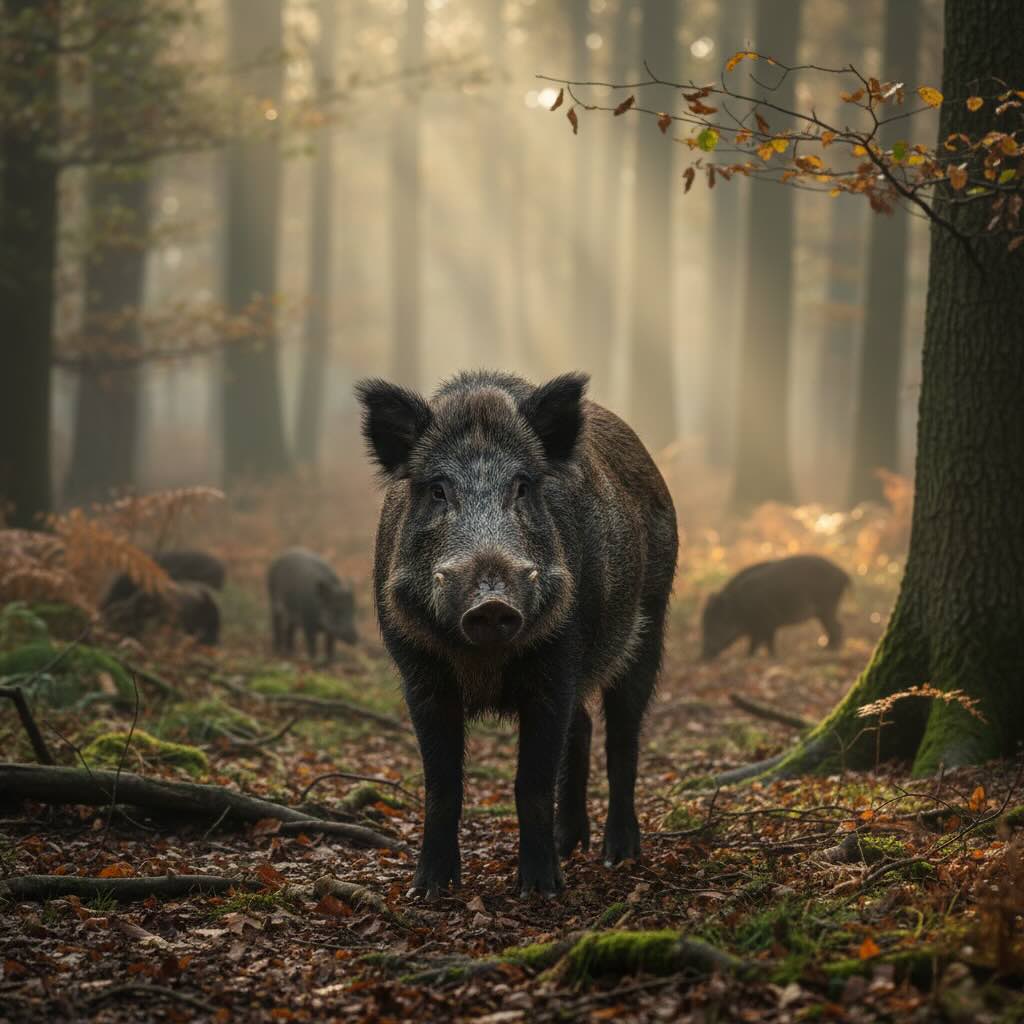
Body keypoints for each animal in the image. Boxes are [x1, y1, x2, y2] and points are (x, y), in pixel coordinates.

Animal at [357, 370, 678, 897]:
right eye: (438, 490)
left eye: (523, 487)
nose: (492, 603)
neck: (484, 660)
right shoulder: (420, 674)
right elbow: (442, 784)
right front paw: (427, 890)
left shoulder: (558, 660)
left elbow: (531, 783)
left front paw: (541, 889)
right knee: (582, 726)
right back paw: (571, 845)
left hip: (649, 622)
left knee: (623, 736)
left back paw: (618, 855)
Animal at [701, 554, 850, 660]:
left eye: (714, 623)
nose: (702, 657)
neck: (738, 606)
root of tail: (843, 573)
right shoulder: (759, 626)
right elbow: (759, 642)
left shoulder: (767, 622)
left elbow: (764, 642)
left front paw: (763, 657)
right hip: (824, 609)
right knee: (836, 626)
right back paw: (826, 648)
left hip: (828, 605)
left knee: (837, 627)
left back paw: (829, 650)